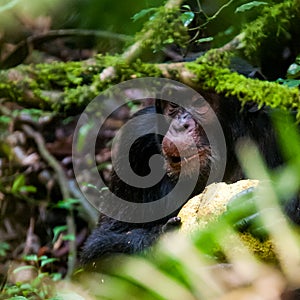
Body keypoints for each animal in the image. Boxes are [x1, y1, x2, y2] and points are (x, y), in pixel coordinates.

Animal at [79, 68, 300, 264]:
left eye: (198, 102)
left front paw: (271, 204)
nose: (180, 124)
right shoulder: (134, 140)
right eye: (173, 105)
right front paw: (166, 241)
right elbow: (101, 242)